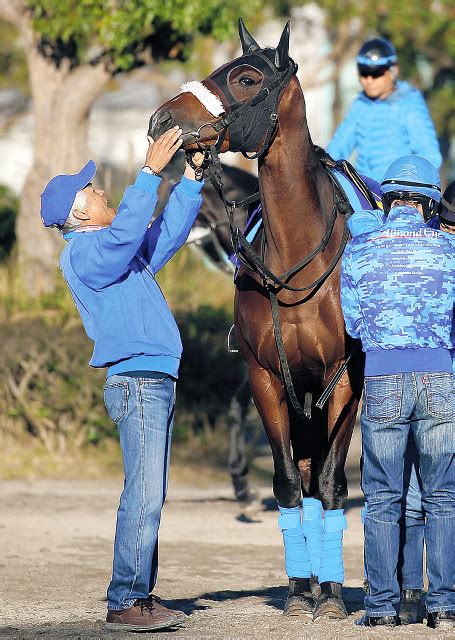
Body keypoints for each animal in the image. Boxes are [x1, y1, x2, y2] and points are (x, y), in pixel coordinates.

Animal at [150, 20, 364, 620]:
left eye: (245, 78)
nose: (161, 121)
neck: (298, 261)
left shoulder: (344, 380)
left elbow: (333, 483)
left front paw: (332, 596)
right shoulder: (267, 377)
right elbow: (290, 482)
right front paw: (299, 589)